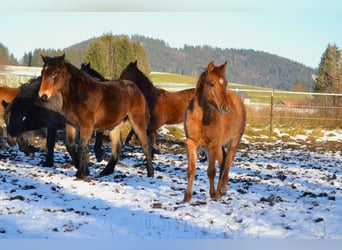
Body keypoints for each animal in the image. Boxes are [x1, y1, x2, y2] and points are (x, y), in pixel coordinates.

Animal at [184, 61, 246, 203]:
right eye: (211, 83)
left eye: (226, 83)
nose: (226, 107)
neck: (201, 118)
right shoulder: (191, 143)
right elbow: (191, 169)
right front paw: (187, 196)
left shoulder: (212, 144)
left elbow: (211, 171)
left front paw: (213, 194)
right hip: (219, 147)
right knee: (223, 163)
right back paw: (220, 190)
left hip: (232, 143)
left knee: (227, 164)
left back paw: (222, 190)